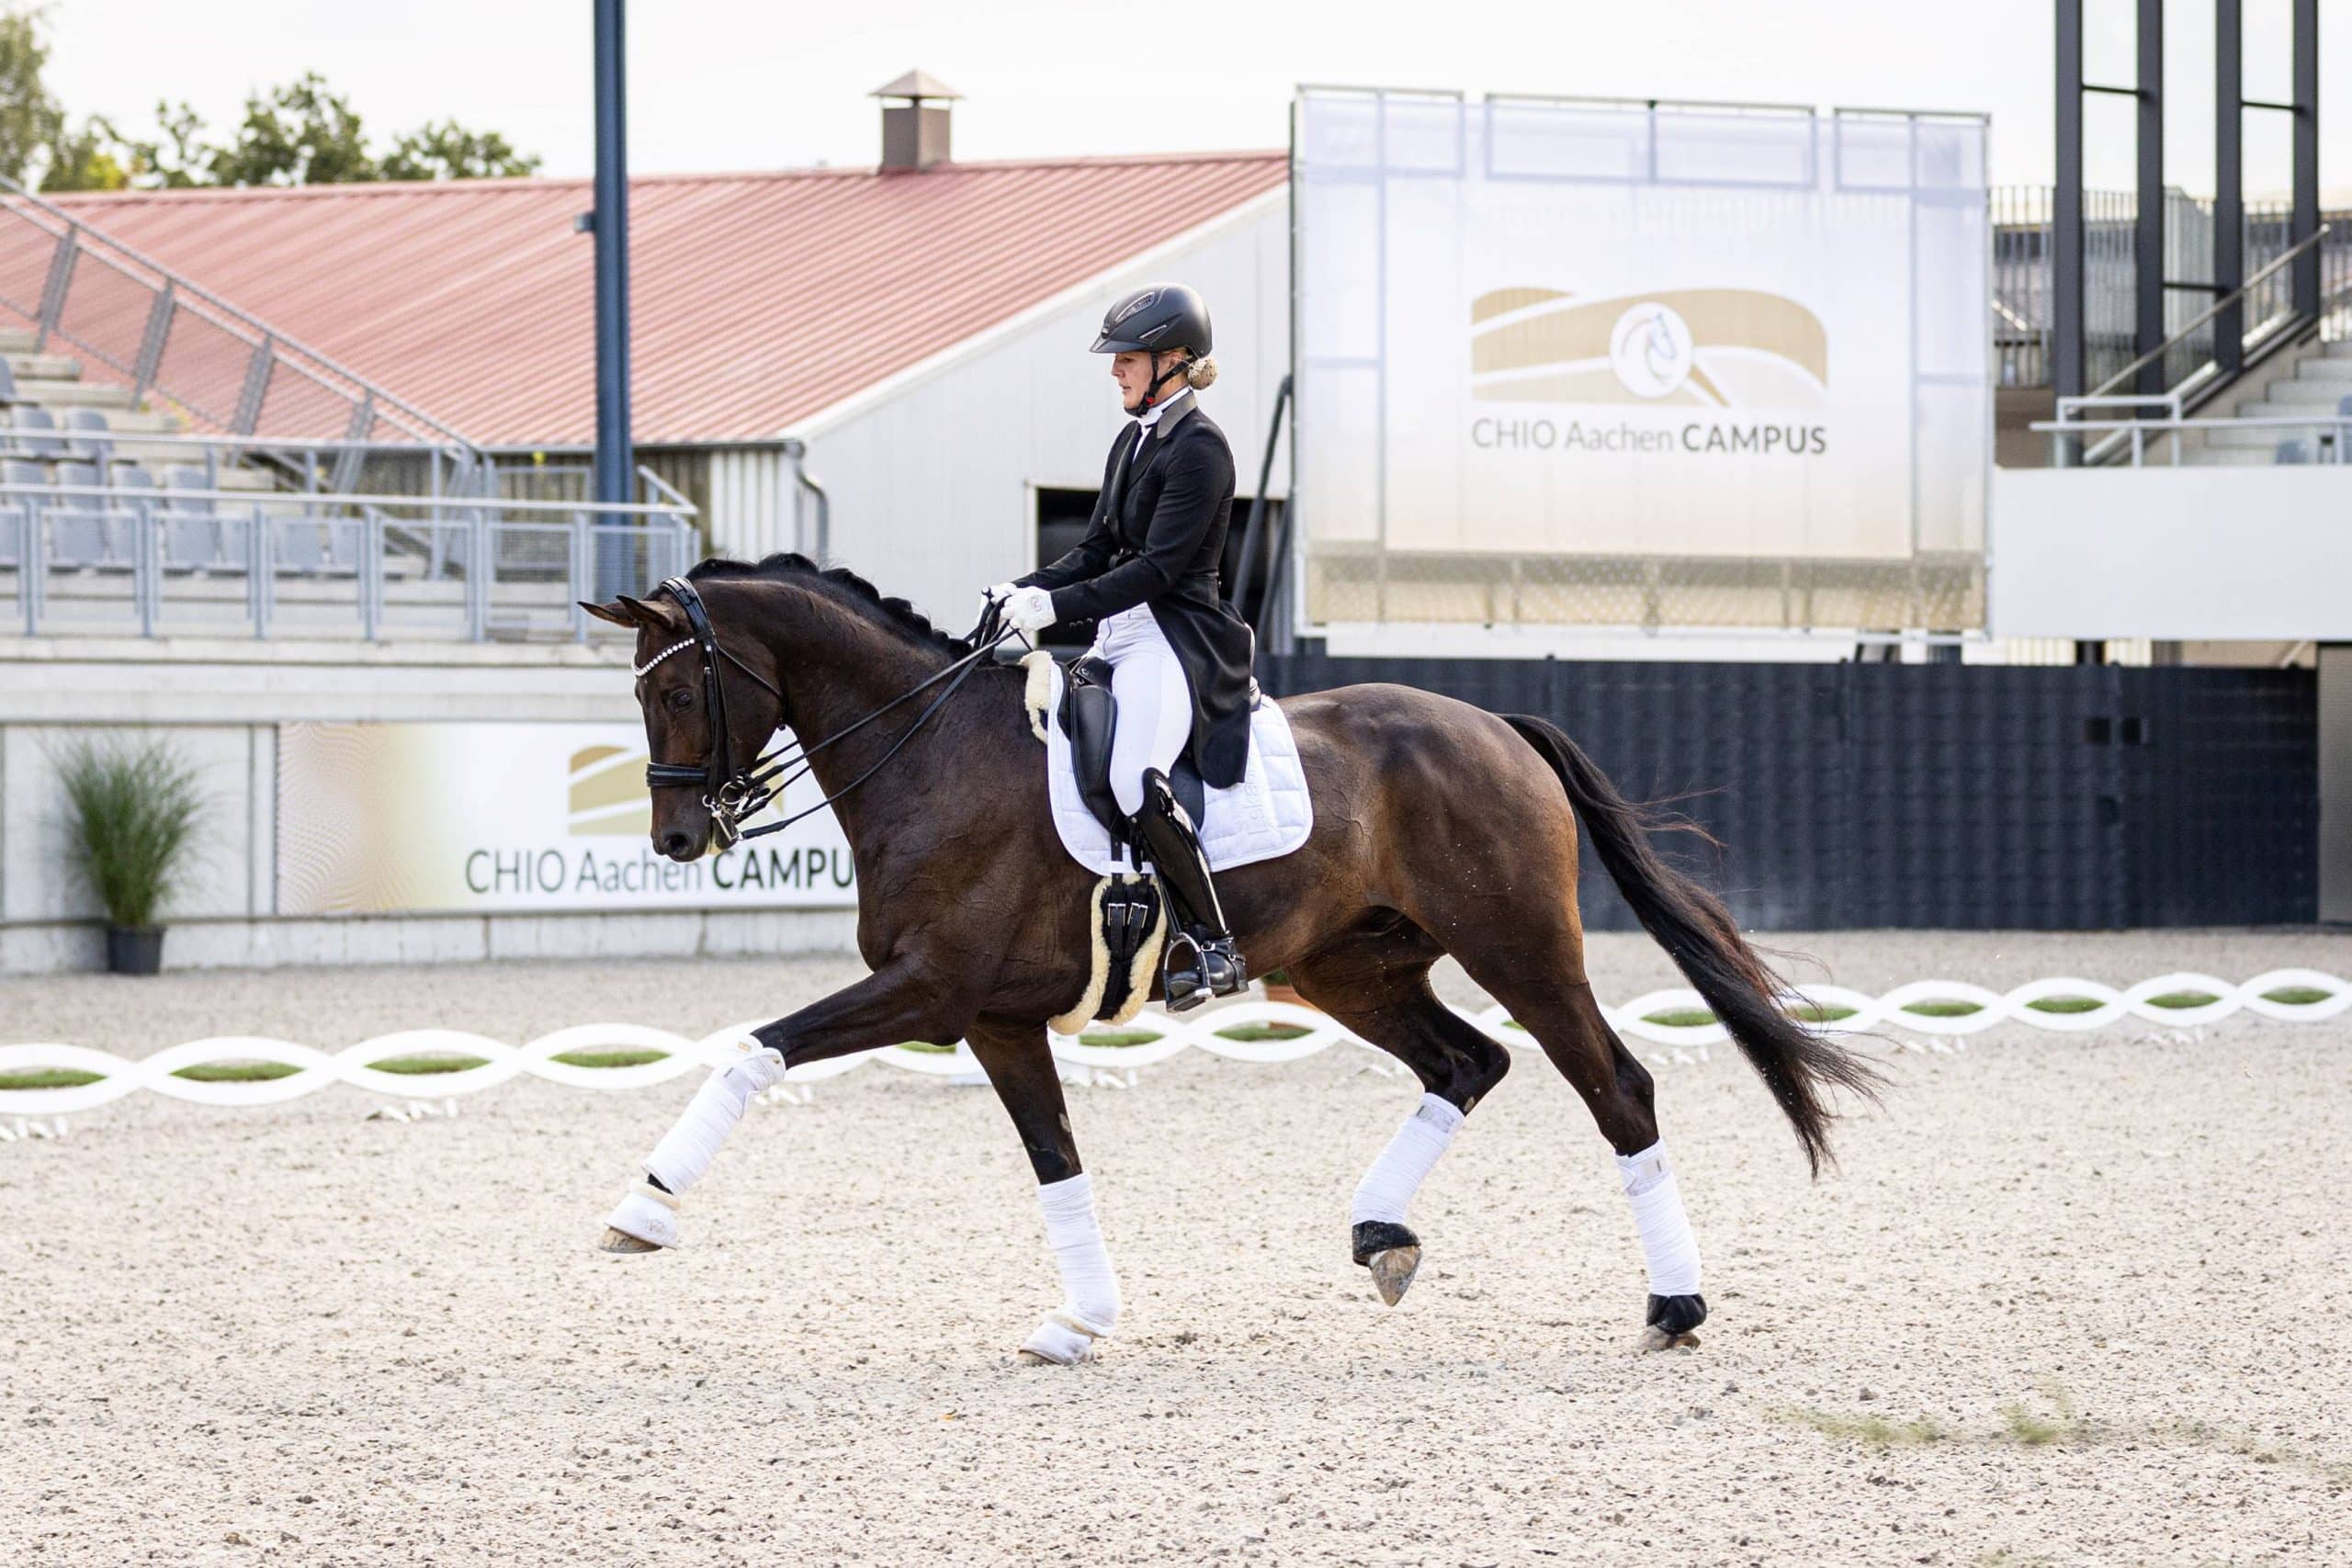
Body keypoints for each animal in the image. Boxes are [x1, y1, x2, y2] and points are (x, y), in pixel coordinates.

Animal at [588, 554, 1871, 1363]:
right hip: (1349, 969)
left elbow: (757, 1049)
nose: (677, 837)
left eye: (683, 688)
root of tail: (1495, 726)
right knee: (1464, 1066)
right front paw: (1080, 1322)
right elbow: (1056, 1163)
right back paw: (1381, 1238)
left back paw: (1674, 1306)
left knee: (1617, 1088)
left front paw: (643, 1211)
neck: (929, 751)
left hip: (1522, 950)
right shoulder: (994, 1017)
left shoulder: (930, 990)